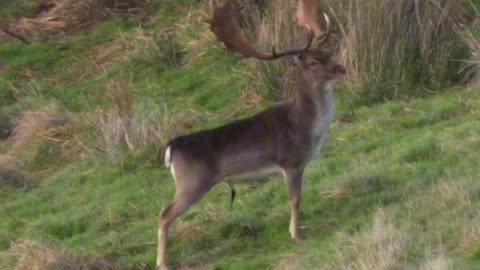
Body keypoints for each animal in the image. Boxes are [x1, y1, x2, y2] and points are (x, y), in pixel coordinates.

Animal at [157, 1, 344, 268]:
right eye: (313, 63)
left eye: (327, 53)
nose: (341, 68)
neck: (306, 127)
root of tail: (172, 148)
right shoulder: (290, 161)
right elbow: (295, 200)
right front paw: (297, 236)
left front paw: (293, 232)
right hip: (191, 182)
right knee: (165, 214)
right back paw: (162, 262)